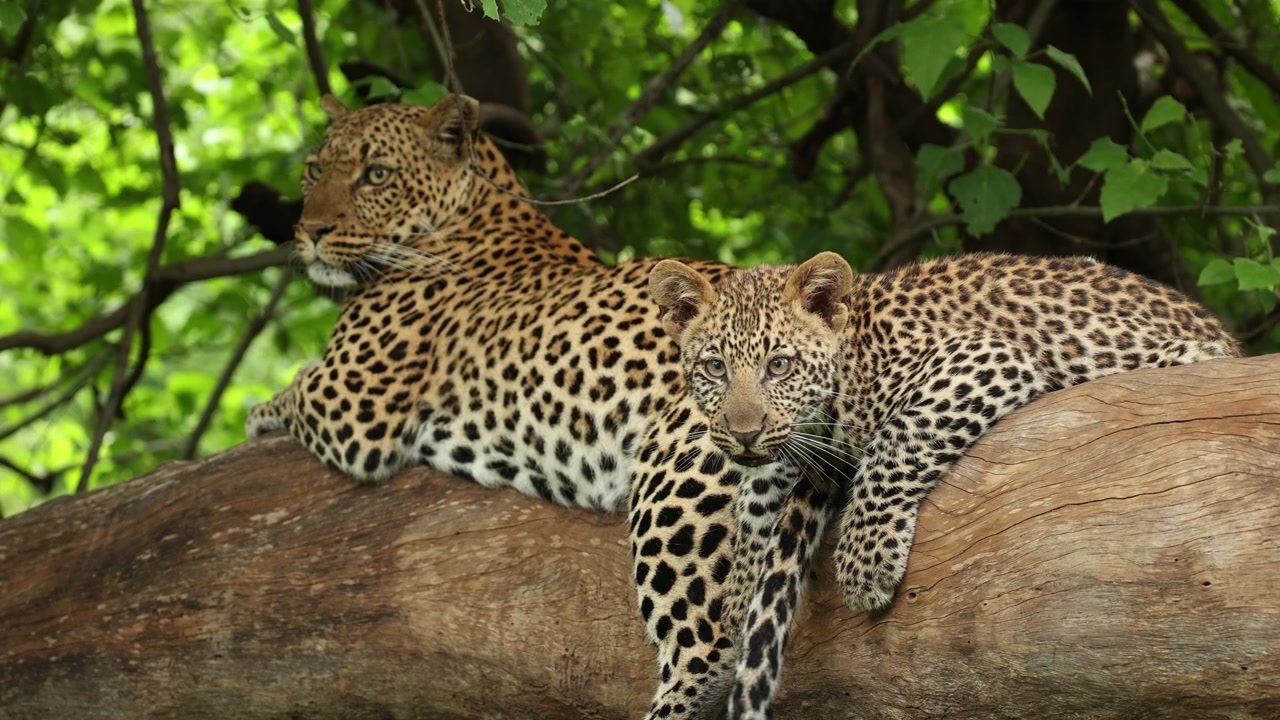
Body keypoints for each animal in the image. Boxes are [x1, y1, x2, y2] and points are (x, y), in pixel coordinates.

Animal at [239, 93, 799, 719]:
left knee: (710, 644)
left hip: (681, 464)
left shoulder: (351, 400)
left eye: (376, 175)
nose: (310, 230)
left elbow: (294, 384)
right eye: (315, 170)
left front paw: (257, 413)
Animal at [648, 250, 1241, 719]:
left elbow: (899, 438)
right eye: (715, 368)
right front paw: (742, 582)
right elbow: (758, 489)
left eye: (781, 365)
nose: (743, 432)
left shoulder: (984, 359)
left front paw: (864, 563)